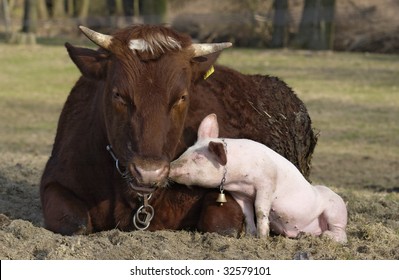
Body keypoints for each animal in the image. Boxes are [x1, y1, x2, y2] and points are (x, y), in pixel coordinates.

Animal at [39, 25, 318, 236]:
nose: (148, 172)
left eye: (182, 97)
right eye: (118, 94)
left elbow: (221, 227)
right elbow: (76, 225)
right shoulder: (54, 182)